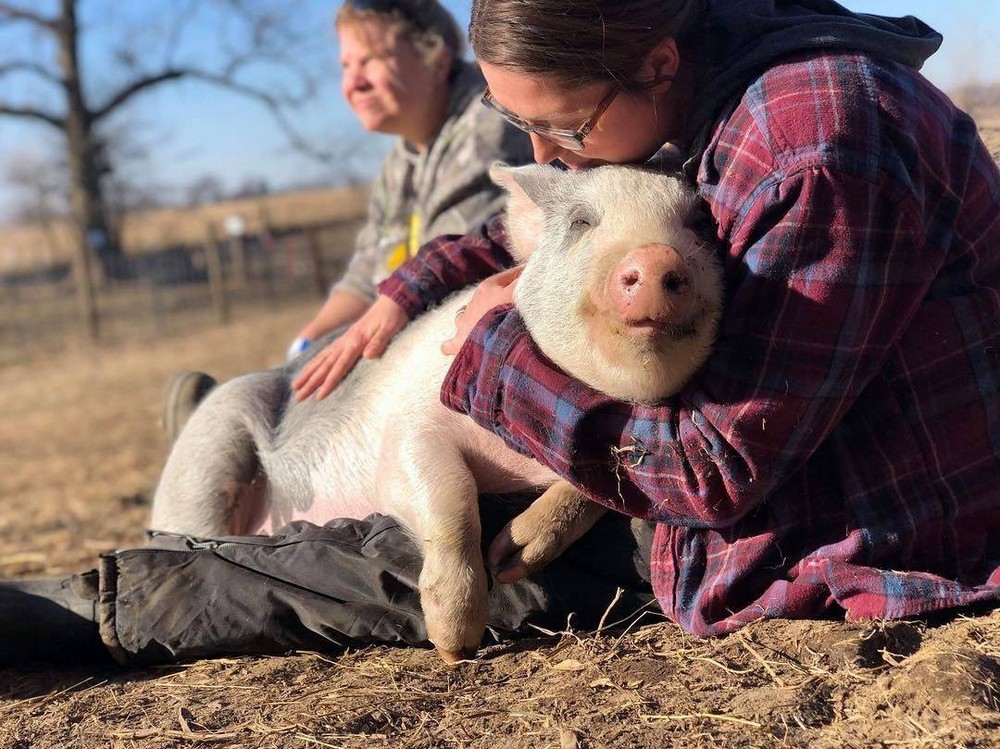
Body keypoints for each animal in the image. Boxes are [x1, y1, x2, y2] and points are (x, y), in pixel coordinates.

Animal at [150, 164, 720, 660]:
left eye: (697, 223)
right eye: (581, 223)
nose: (655, 256)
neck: (521, 459)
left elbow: (596, 490)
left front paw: (510, 559)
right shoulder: (409, 427)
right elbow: (449, 497)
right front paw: (454, 646)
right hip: (206, 458)